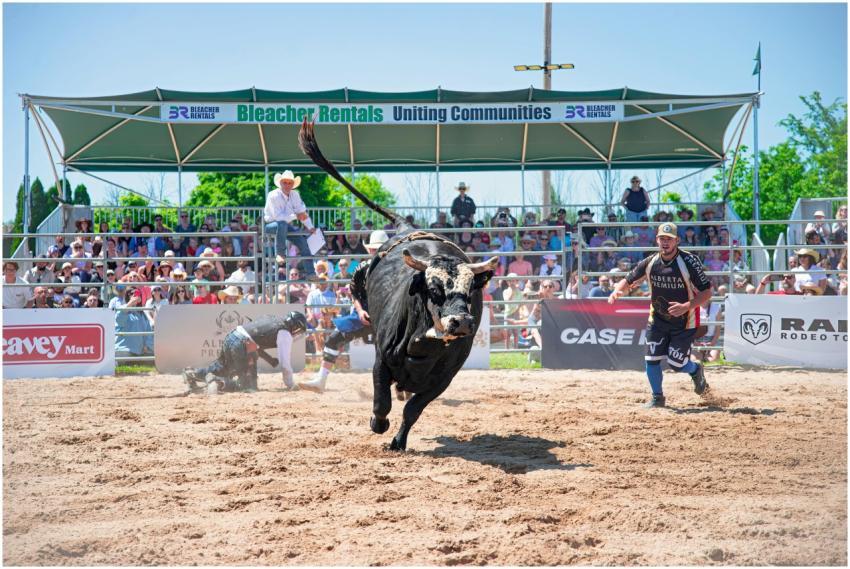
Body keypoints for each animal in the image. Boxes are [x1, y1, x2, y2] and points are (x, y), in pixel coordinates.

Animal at [299, 120, 498, 450]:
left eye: (471, 290)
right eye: (433, 289)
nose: (461, 322)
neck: (423, 342)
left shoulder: (443, 379)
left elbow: (412, 409)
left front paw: (398, 441)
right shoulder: (381, 359)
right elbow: (382, 403)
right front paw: (378, 424)